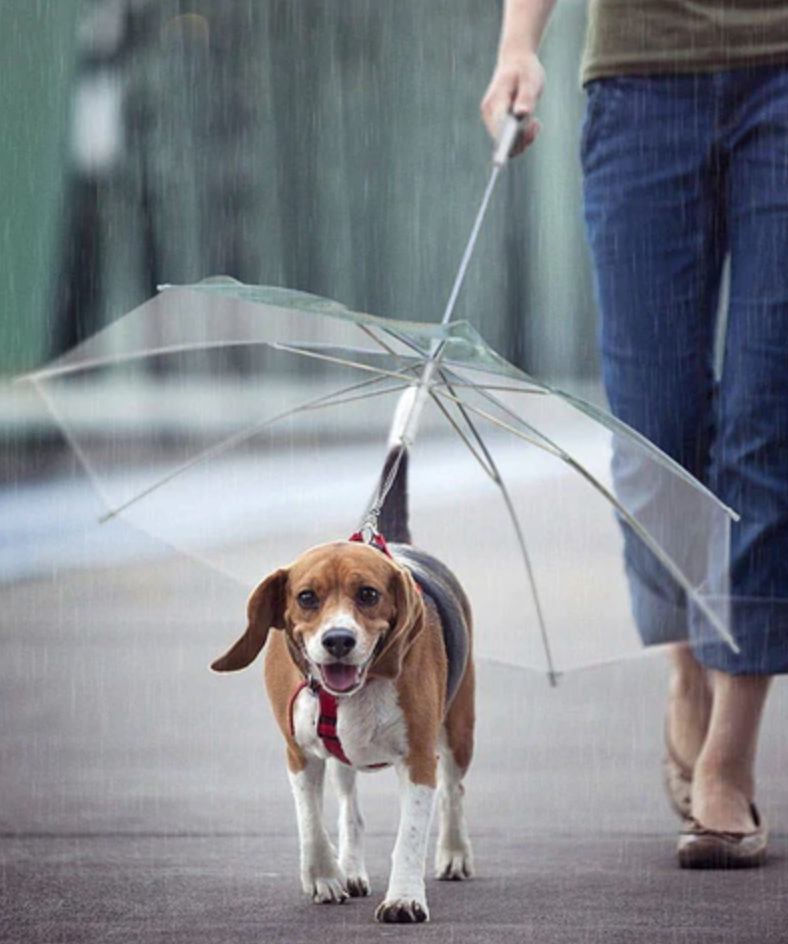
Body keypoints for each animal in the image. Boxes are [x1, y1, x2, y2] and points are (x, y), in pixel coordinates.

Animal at [209, 448, 474, 920]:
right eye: (306, 597)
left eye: (368, 594)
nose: (338, 640)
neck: (352, 690)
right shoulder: (298, 753)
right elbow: (310, 821)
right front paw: (324, 877)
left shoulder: (419, 758)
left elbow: (410, 834)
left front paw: (404, 897)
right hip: (342, 759)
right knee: (351, 811)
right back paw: (350, 869)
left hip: (459, 729)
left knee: (453, 790)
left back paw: (455, 852)